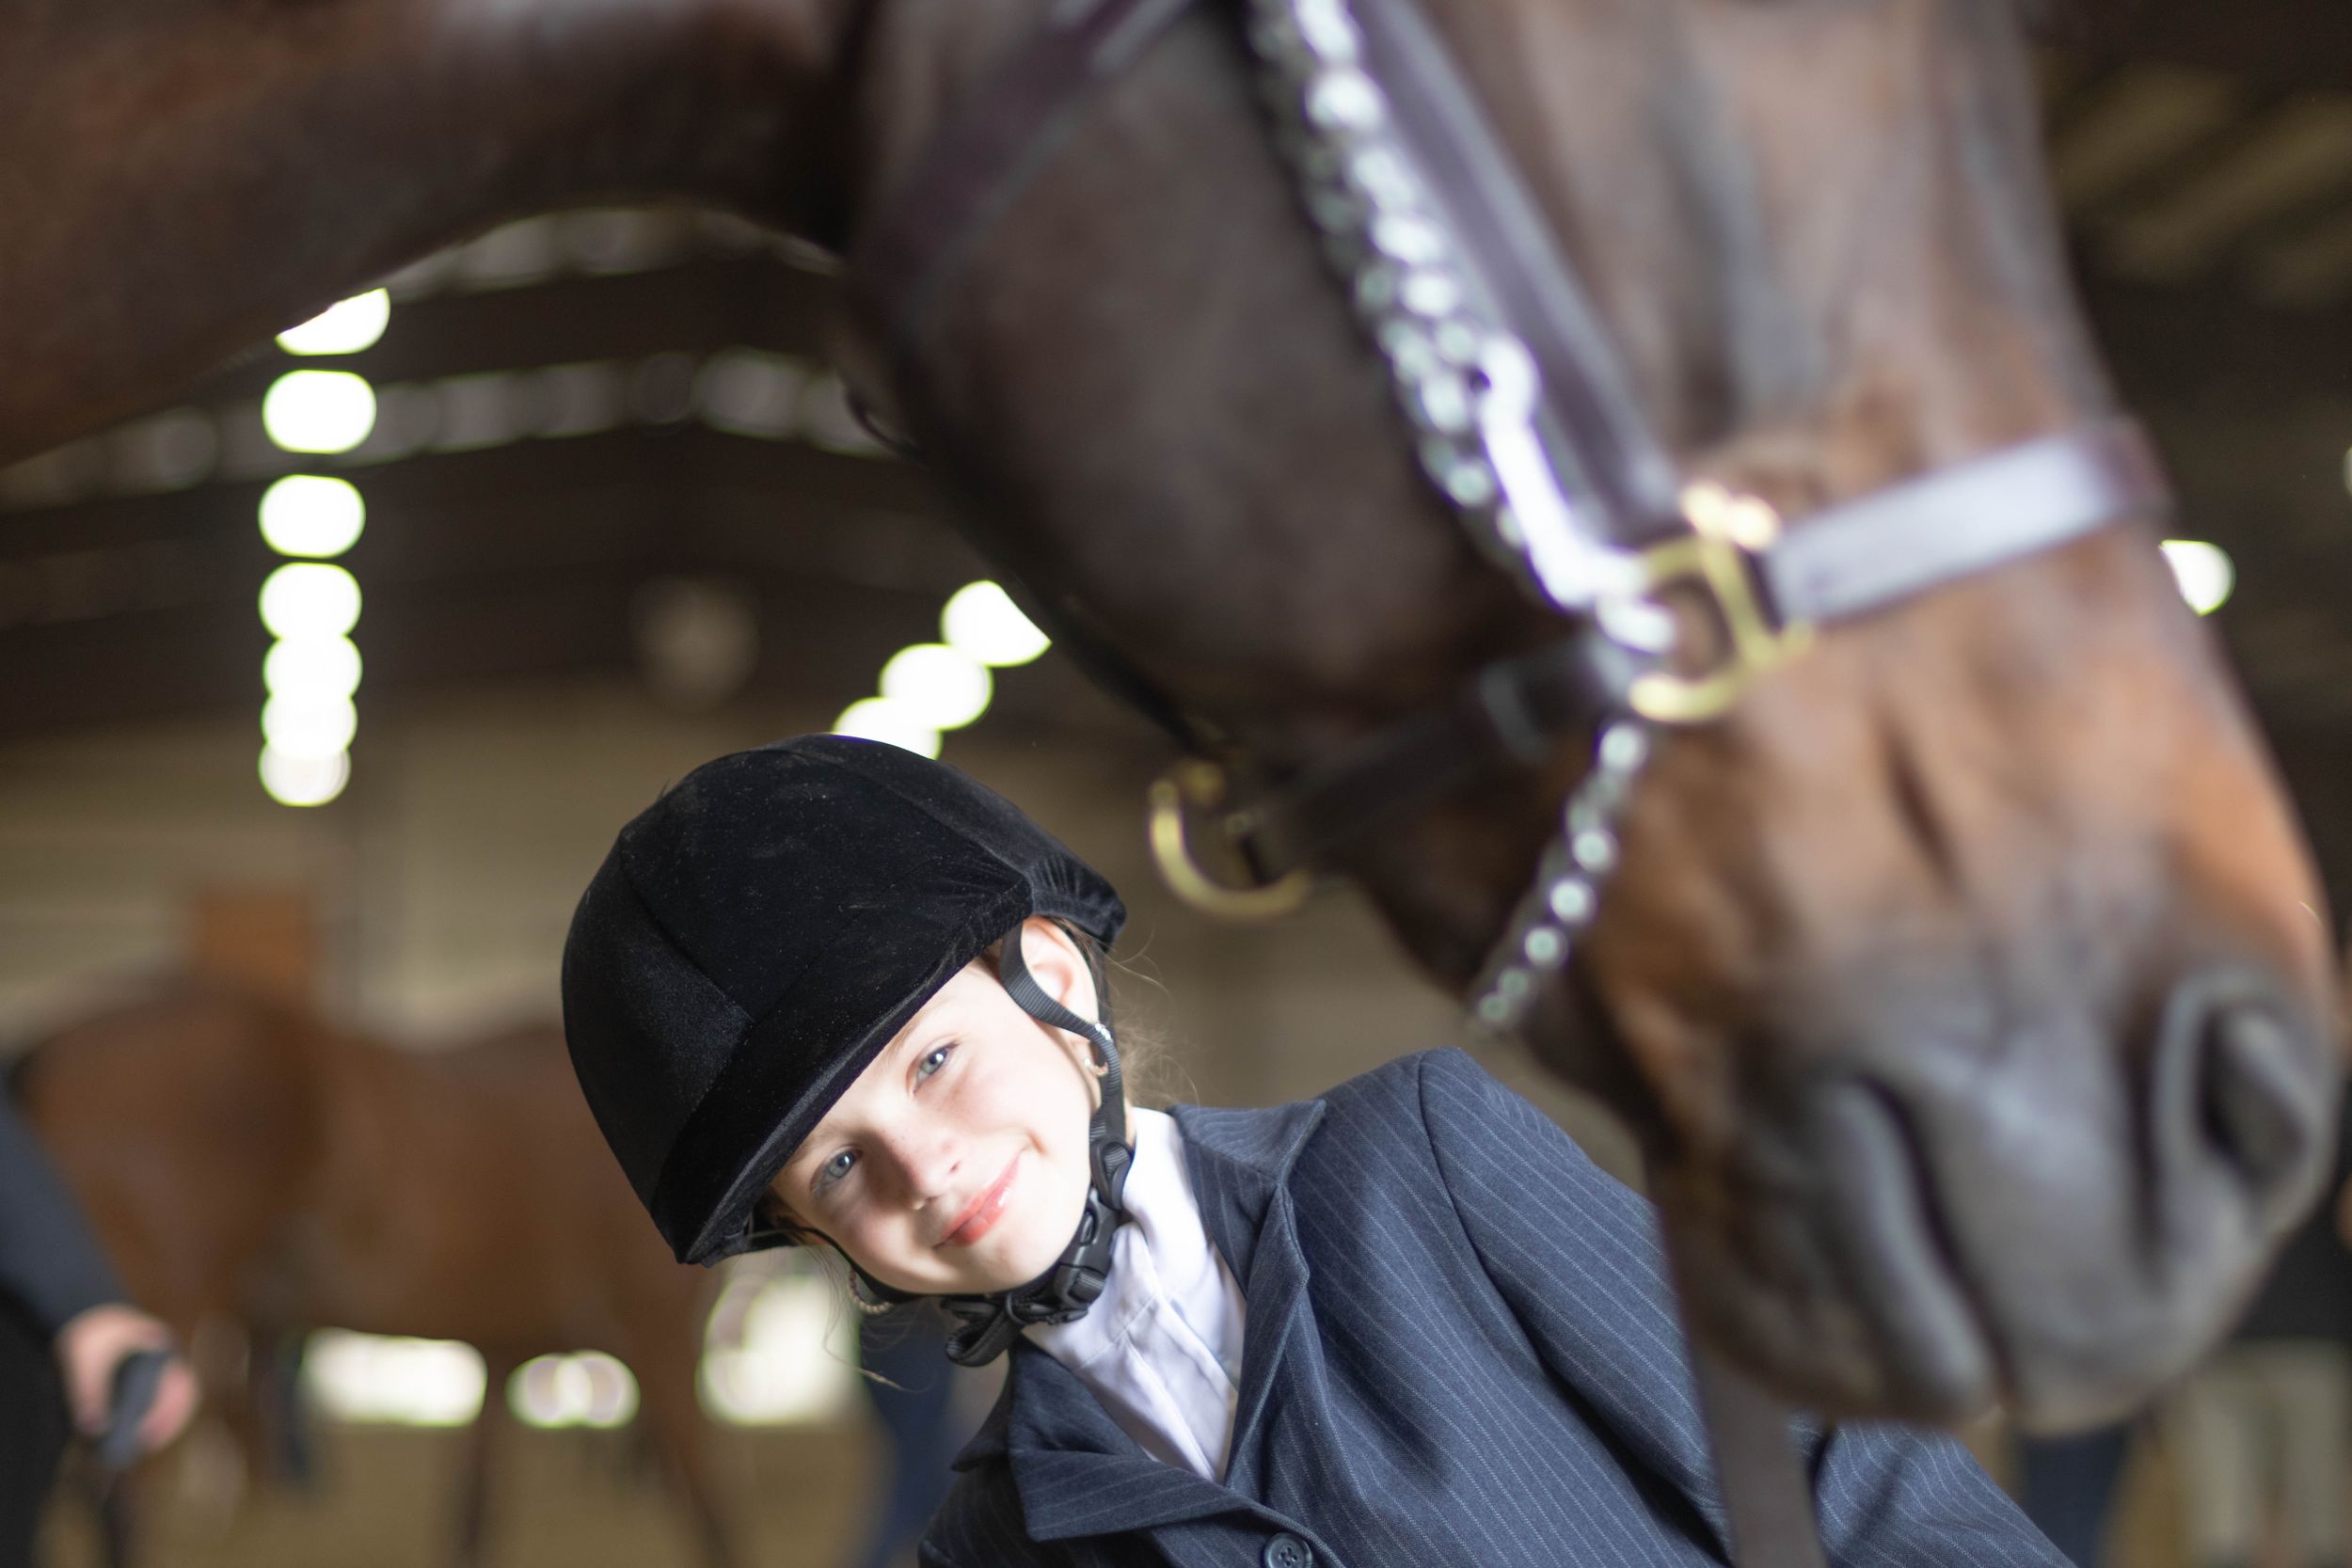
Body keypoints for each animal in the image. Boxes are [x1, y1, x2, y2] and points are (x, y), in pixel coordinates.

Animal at [11, 980, 737, 1568]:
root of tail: (56, 1044)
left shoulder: (504, 1351)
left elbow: (473, 1517)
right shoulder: (662, 1338)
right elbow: (711, 1514)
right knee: (119, 1508)